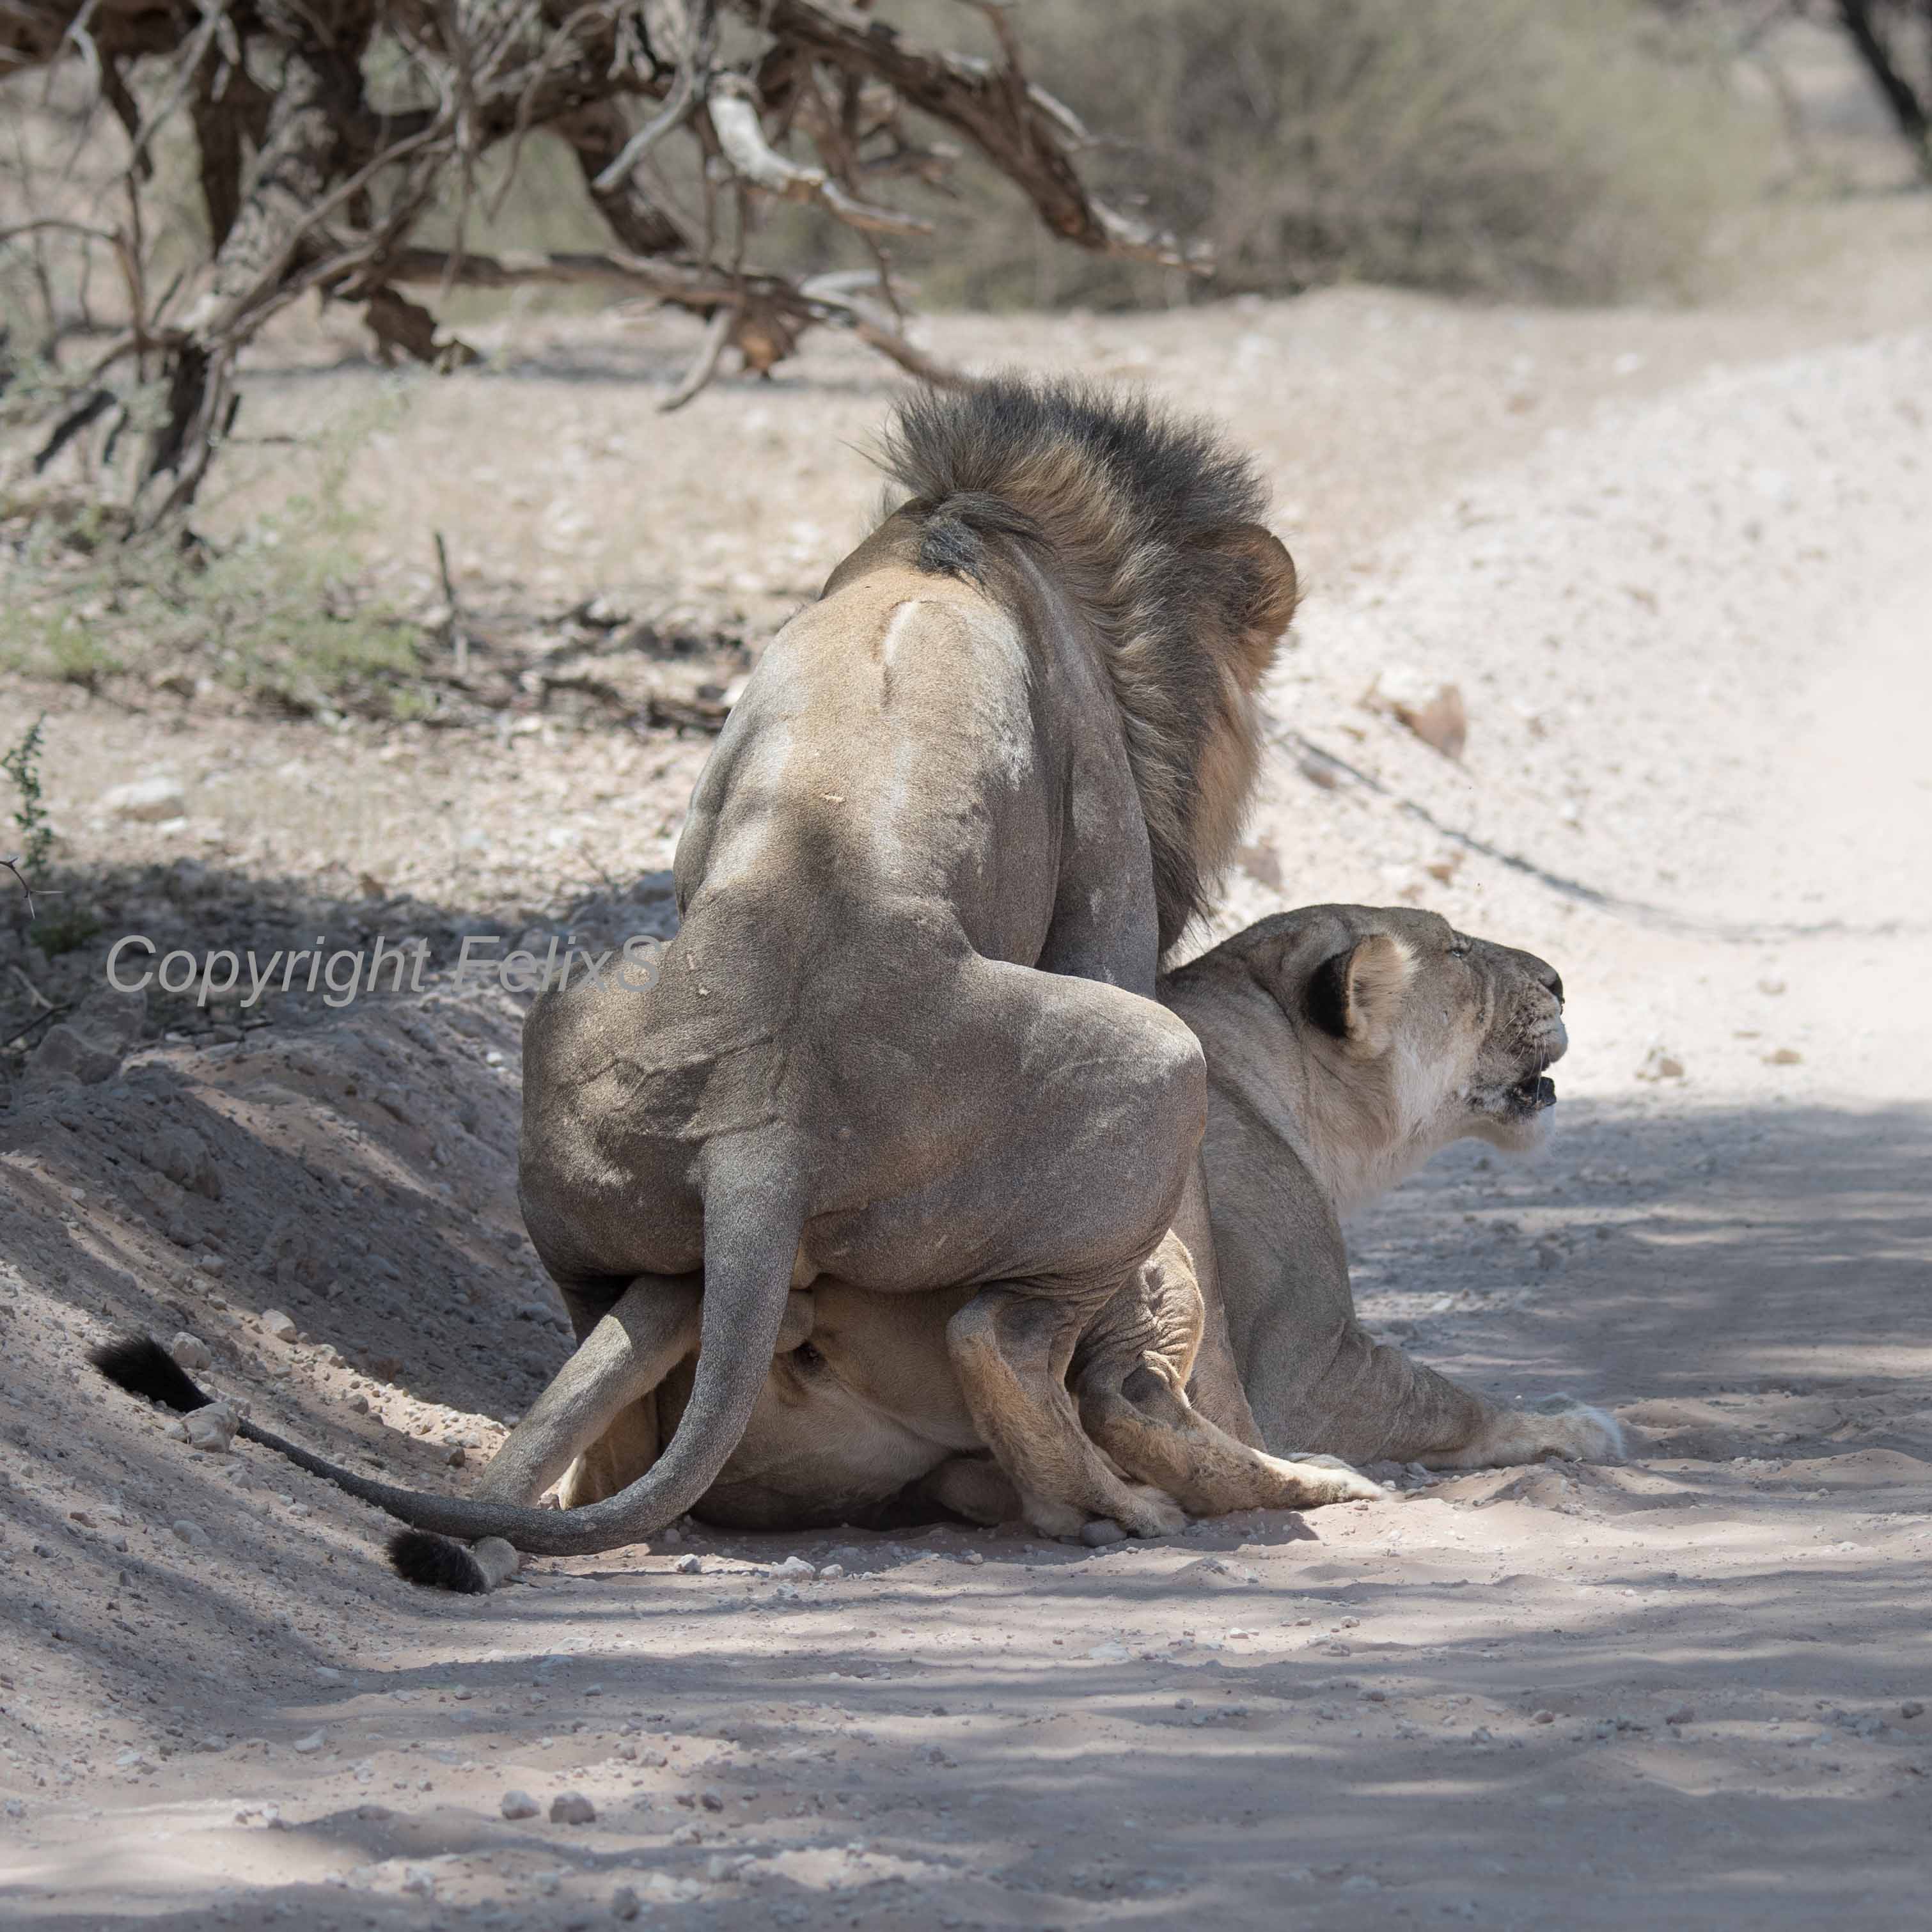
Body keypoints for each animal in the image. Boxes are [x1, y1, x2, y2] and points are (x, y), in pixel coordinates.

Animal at [98, 381, 1383, 1584]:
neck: (990, 527)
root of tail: (757, 1134)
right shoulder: (1108, 866)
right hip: (1156, 1066)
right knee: (1001, 1336)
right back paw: (1116, 1509)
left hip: (569, 1032)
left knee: (612, 1325)